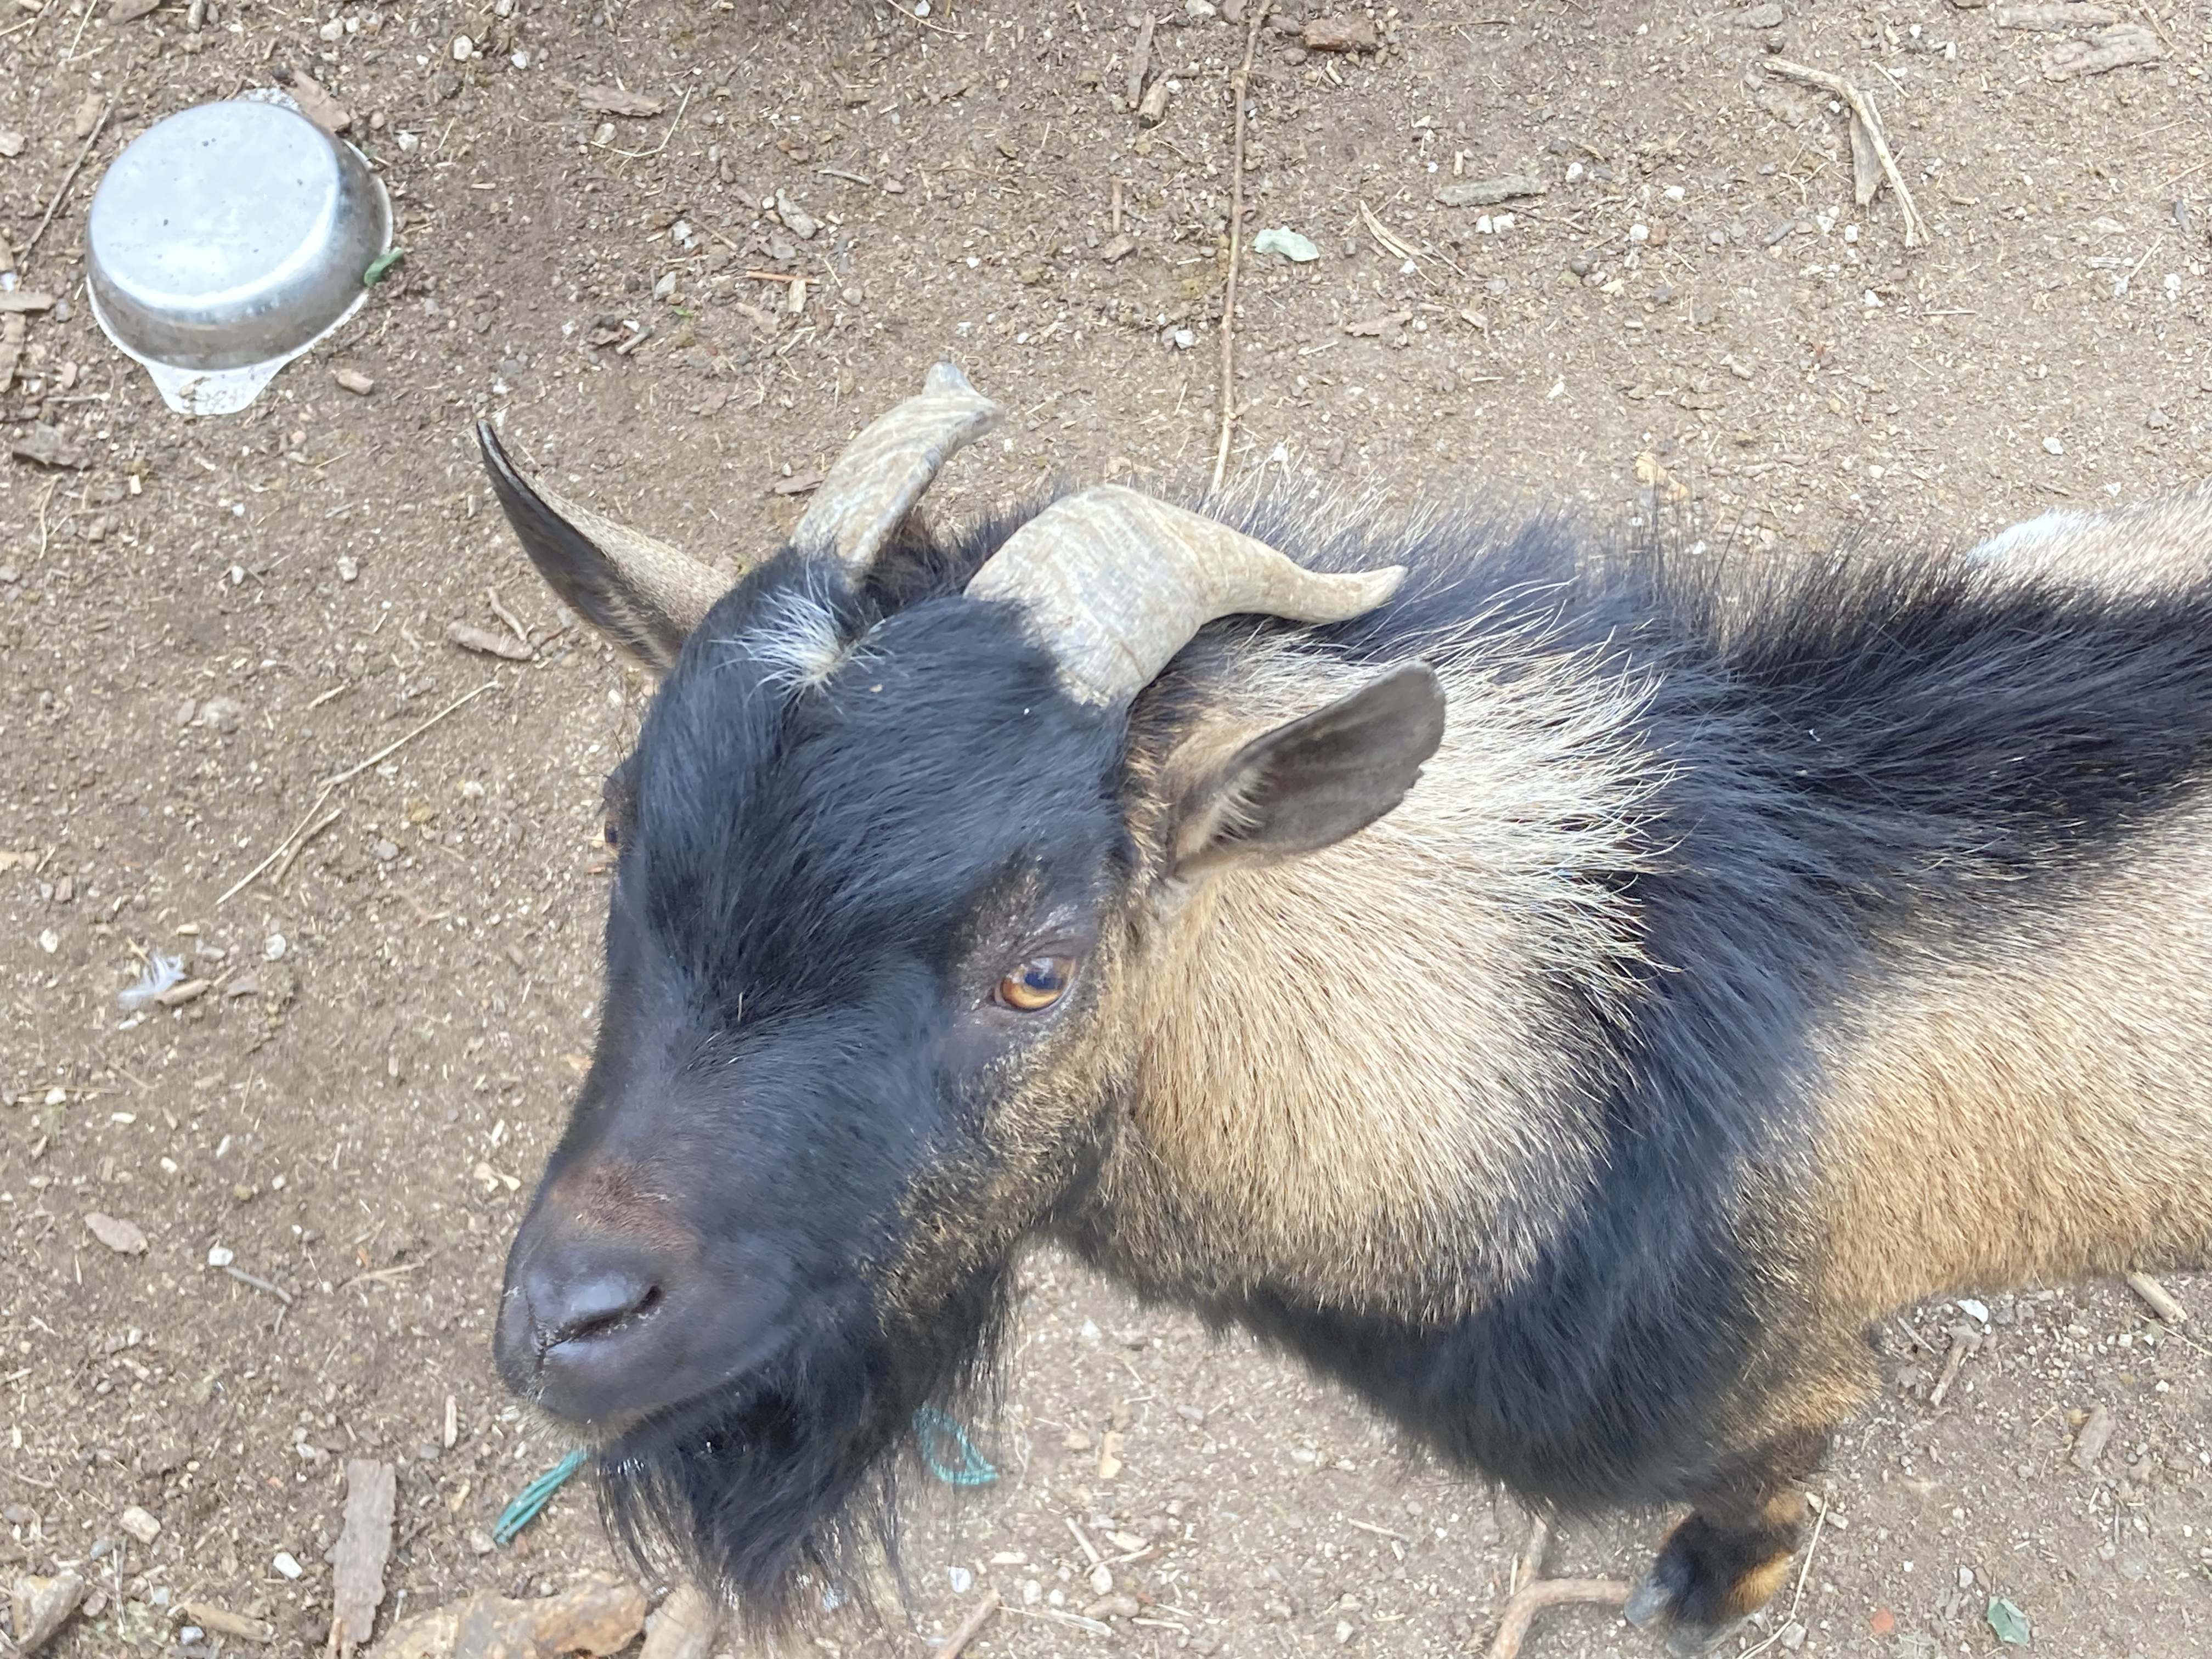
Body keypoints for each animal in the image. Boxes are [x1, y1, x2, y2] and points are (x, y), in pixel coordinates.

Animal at [480, 365, 2212, 1656]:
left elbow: (1765, 1490)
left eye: (1039, 967)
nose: (568, 1325)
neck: (1602, 1060)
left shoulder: (1785, 1375)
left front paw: (1705, 1592)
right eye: (619, 825)